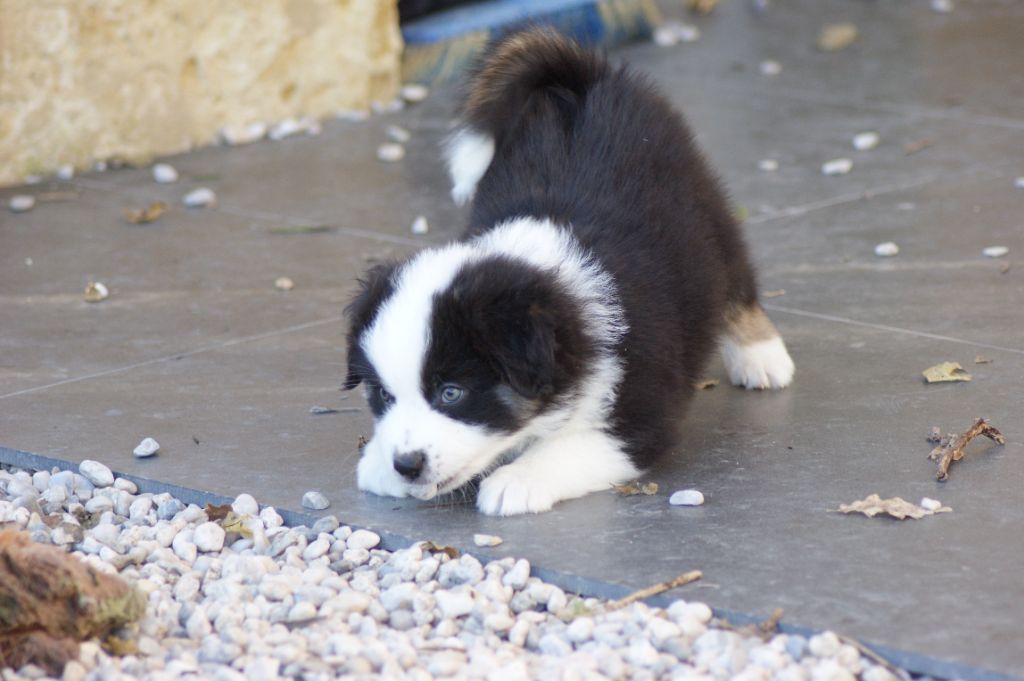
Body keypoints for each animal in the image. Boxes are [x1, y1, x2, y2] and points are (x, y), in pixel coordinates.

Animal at [342, 27, 790, 516]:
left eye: (451, 394)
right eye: (384, 396)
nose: (406, 465)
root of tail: (589, 78)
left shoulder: (640, 412)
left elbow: (574, 445)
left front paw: (517, 480)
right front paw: (378, 464)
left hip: (703, 213)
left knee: (735, 283)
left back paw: (762, 357)